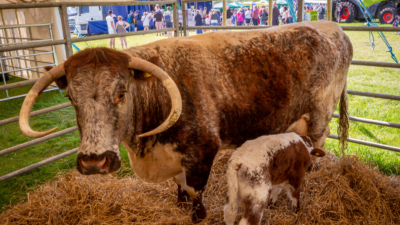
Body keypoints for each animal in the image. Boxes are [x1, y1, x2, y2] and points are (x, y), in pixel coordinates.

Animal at [18, 21, 350, 221]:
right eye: (70, 97)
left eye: (121, 92)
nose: (93, 163)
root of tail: (332, 27)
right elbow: (178, 184)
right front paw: (178, 204)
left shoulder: (201, 151)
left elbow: (194, 189)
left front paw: (197, 215)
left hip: (319, 116)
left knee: (318, 145)